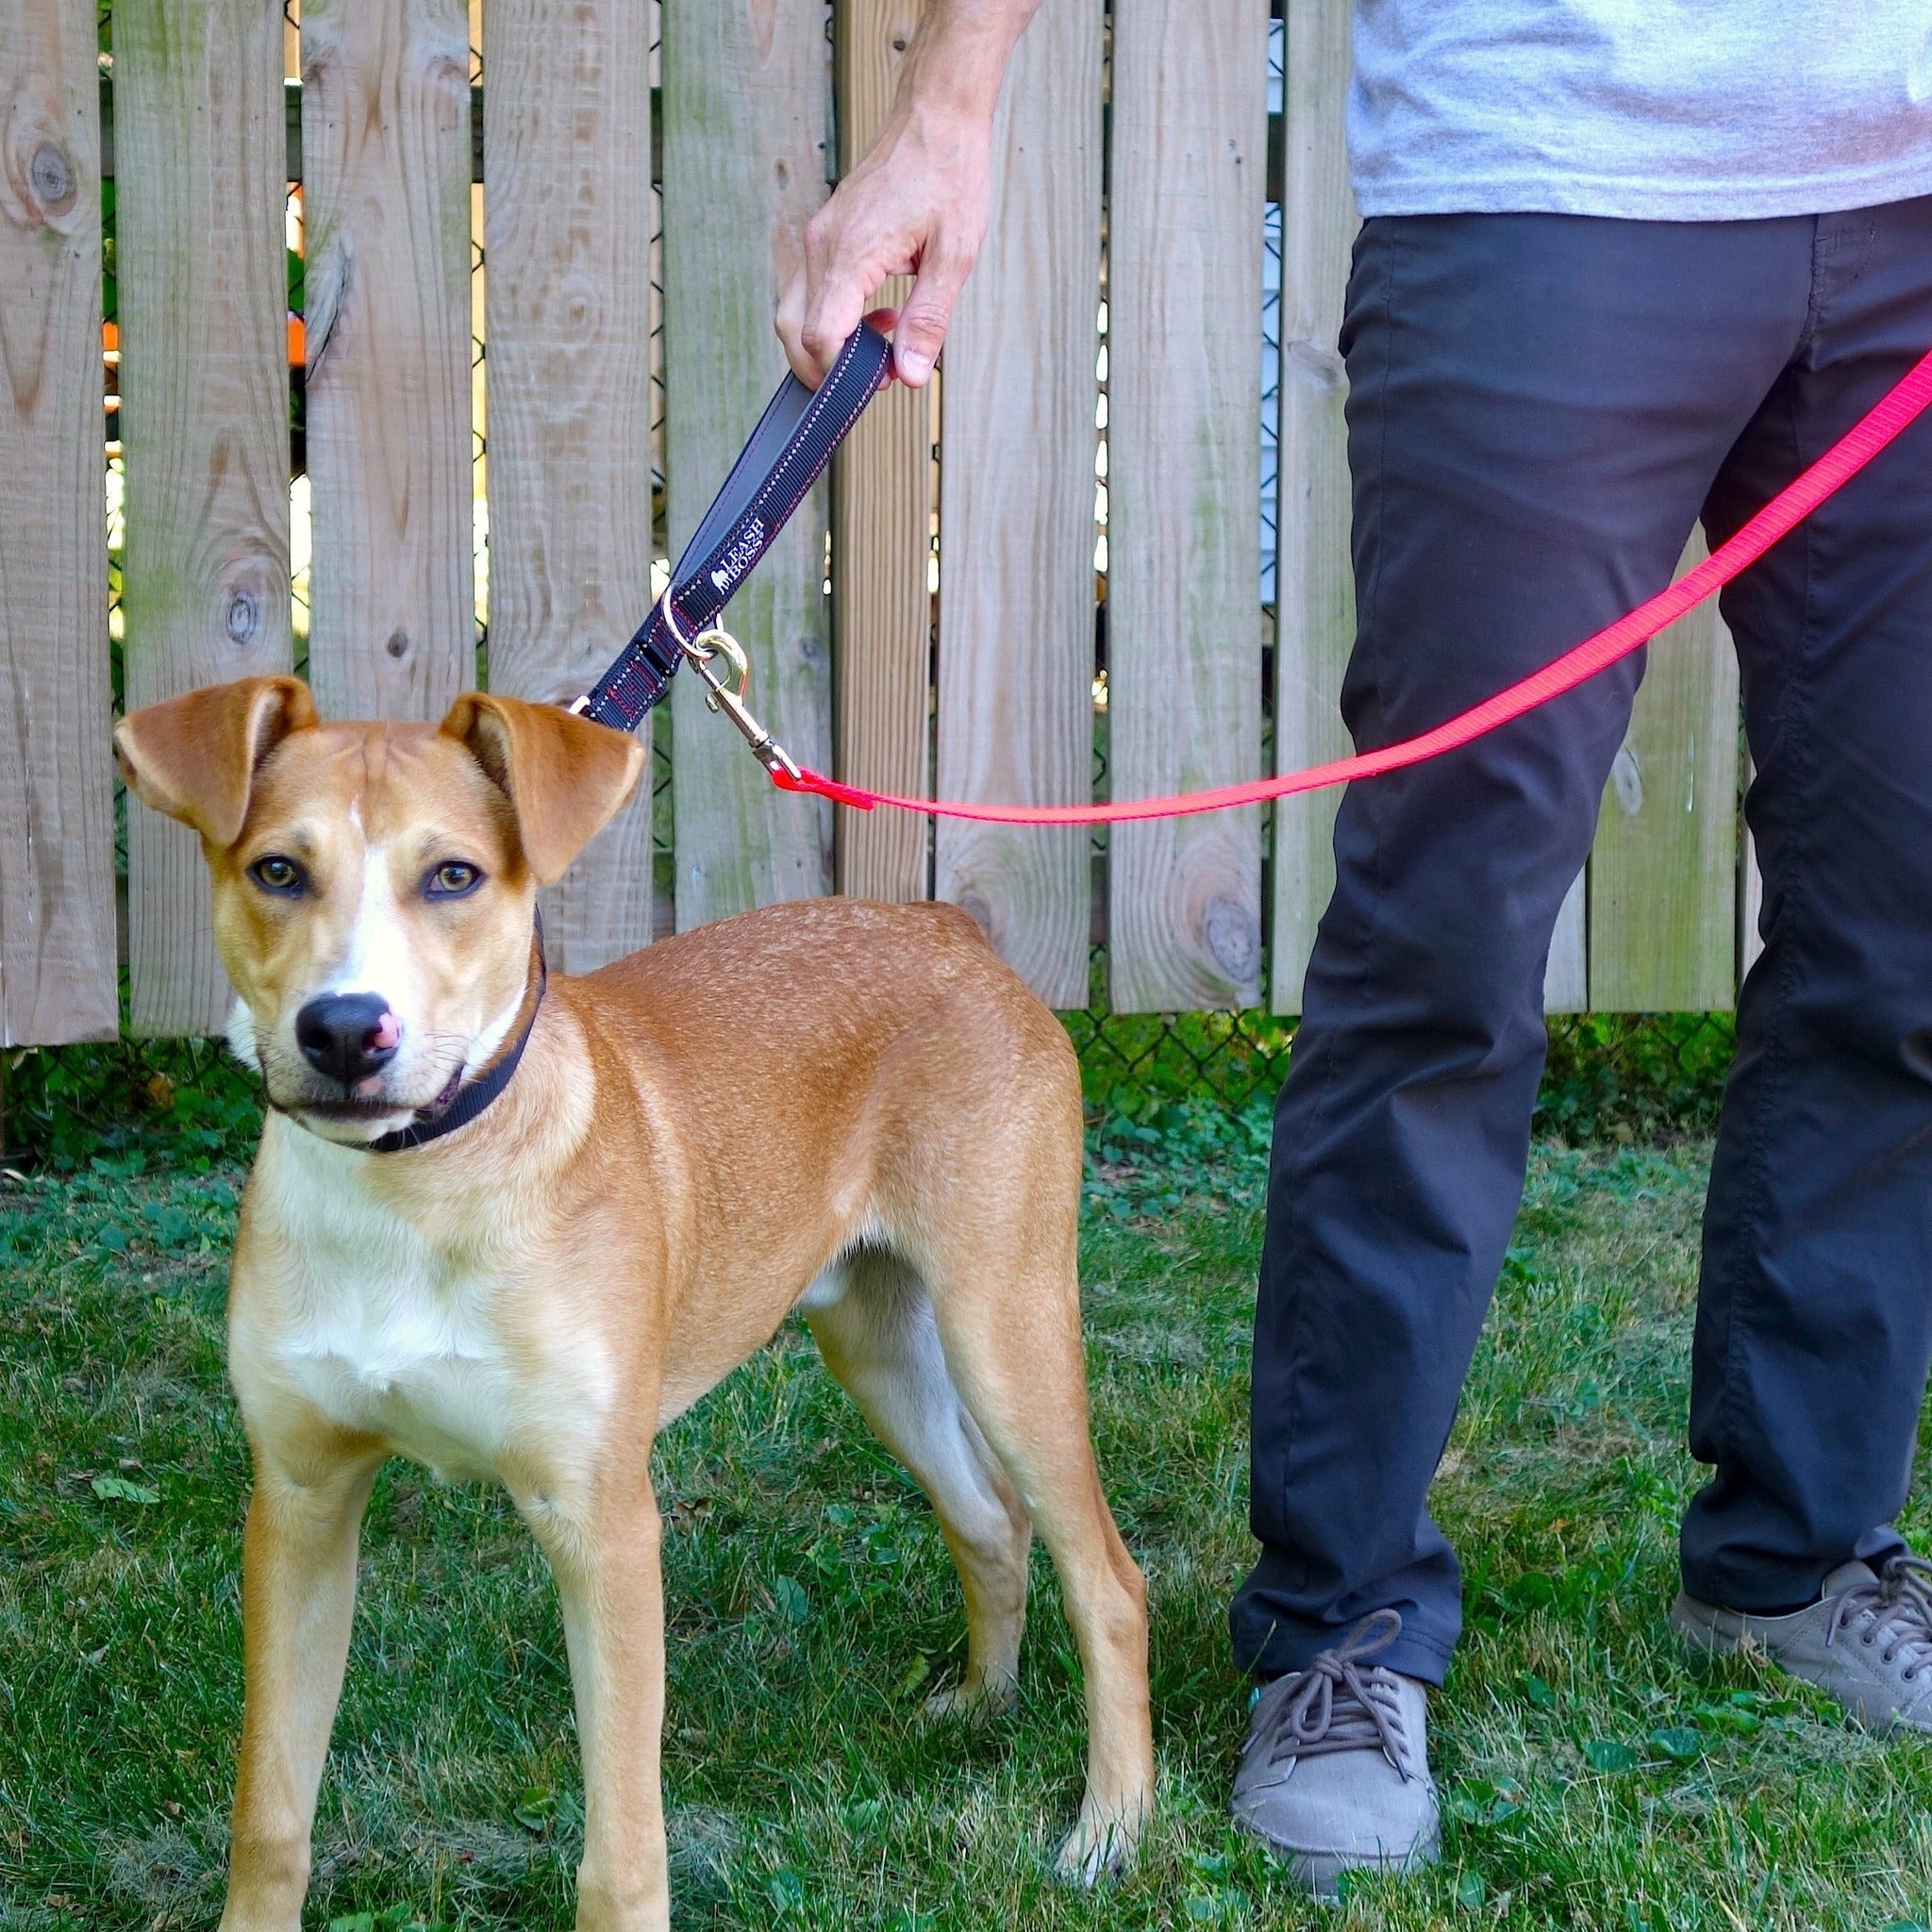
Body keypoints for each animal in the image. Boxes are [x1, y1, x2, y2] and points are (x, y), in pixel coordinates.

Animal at [112, 679, 1151, 1932]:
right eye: (276, 868)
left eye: (453, 874)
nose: (347, 1030)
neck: (416, 1191)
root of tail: (949, 925)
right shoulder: (300, 1505)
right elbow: (270, 1813)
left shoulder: (601, 1522)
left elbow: (622, 1848)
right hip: (875, 1340)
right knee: (989, 1516)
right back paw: (981, 1706)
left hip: (1005, 1325)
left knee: (1107, 1578)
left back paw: (1109, 1828)